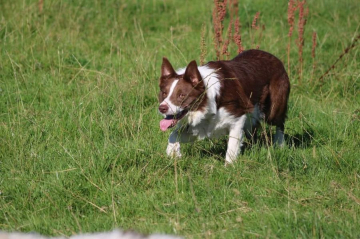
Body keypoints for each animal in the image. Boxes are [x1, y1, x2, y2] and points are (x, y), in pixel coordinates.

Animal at [158, 48, 290, 164]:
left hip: (273, 108)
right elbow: (173, 135)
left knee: (280, 122)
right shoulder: (198, 127)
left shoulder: (237, 118)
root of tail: (274, 57)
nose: (162, 108)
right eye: (164, 93)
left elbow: (232, 146)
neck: (208, 101)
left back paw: (280, 144)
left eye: (181, 95)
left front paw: (229, 167)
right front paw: (173, 154)